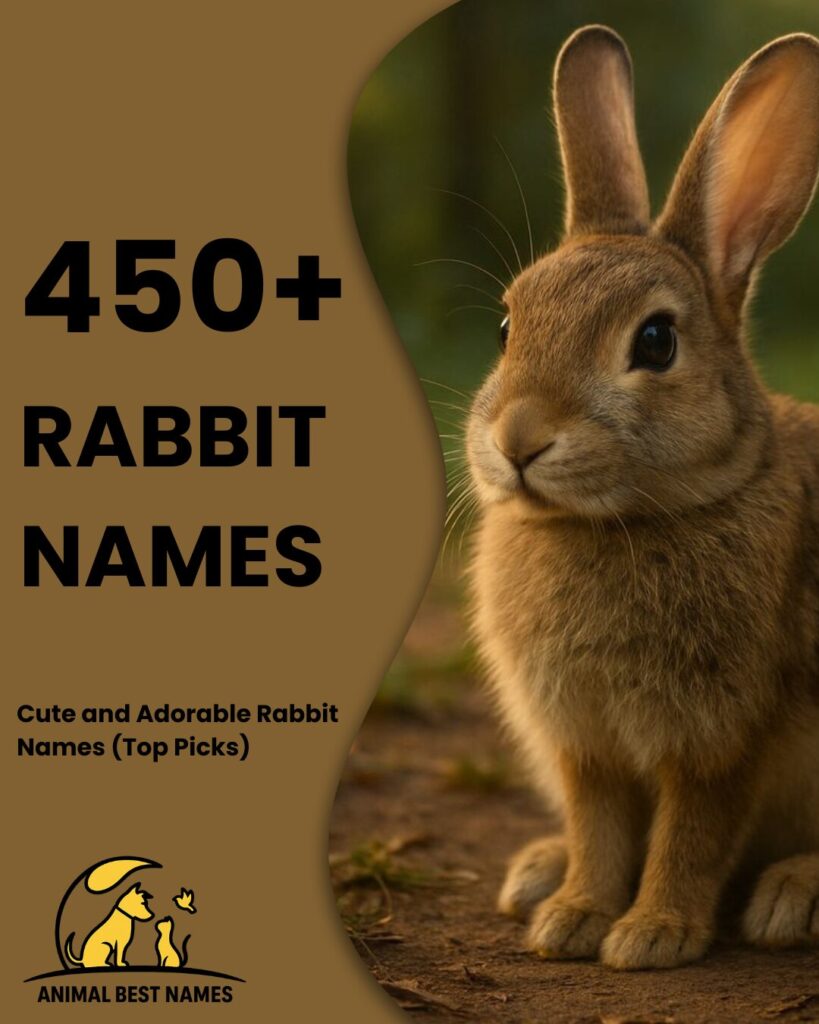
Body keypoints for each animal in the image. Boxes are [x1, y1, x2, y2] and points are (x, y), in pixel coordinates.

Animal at [466, 25, 819, 970]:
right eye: (508, 326)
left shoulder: (720, 736)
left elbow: (690, 835)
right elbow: (599, 829)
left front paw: (652, 935)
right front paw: (574, 917)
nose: (517, 440)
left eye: (655, 342)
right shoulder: (582, 743)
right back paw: (537, 873)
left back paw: (792, 896)